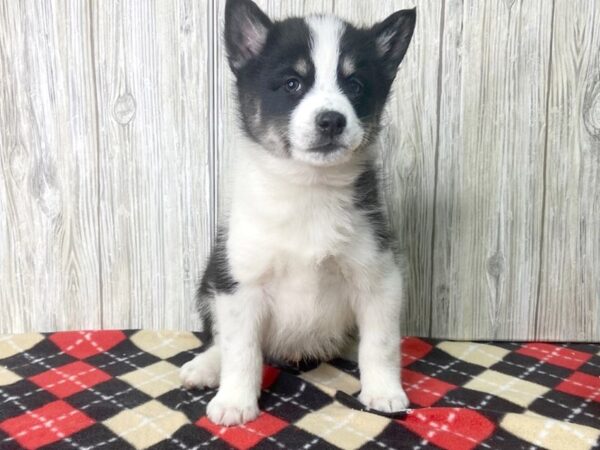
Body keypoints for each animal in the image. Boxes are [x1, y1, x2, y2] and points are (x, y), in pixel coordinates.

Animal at [180, 0, 414, 426]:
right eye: (292, 84)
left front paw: (384, 392)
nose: (332, 120)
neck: (309, 188)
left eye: (355, 86)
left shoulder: (379, 275)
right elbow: (241, 350)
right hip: (210, 281)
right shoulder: (241, 282)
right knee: (221, 340)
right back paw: (205, 367)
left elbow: (381, 342)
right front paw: (235, 401)